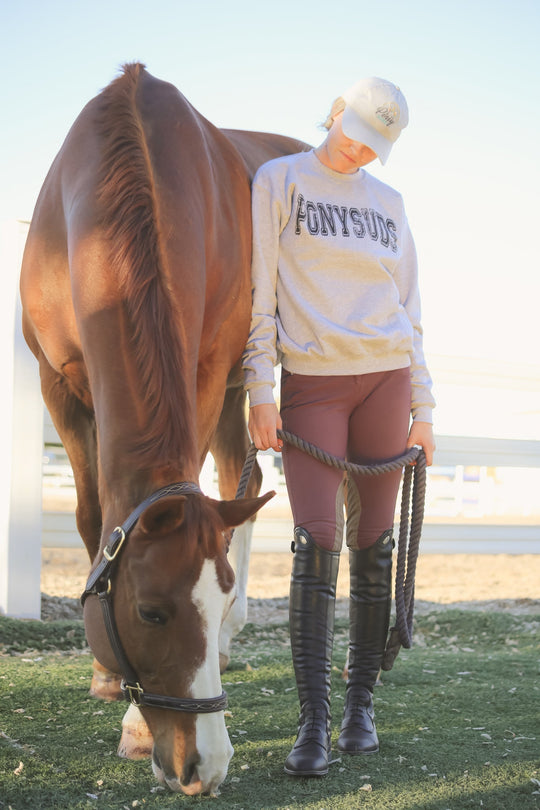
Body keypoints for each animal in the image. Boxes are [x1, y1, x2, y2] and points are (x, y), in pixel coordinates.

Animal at [20, 63, 308, 796]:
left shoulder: (201, 371)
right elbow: (91, 519)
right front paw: (106, 677)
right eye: (151, 611)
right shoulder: (58, 384)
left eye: (216, 598)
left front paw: (135, 725)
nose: (207, 763)